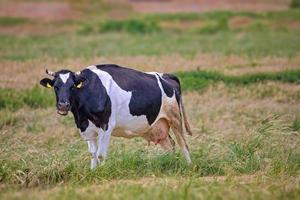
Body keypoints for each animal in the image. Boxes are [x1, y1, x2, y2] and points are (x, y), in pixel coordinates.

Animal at [39, 64, 192, 169]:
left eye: (72, 86)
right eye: (56, 87)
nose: (63, 105)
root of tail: (167, 75)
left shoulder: (106, 126)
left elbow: (101, 154)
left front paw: (102, 172)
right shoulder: (87, 128)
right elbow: (92, 153)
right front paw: (93, 172)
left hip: (175, 118)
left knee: (183, 144)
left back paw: (189, 166)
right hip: (157, 126)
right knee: (170, 145)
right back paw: (170, 164)